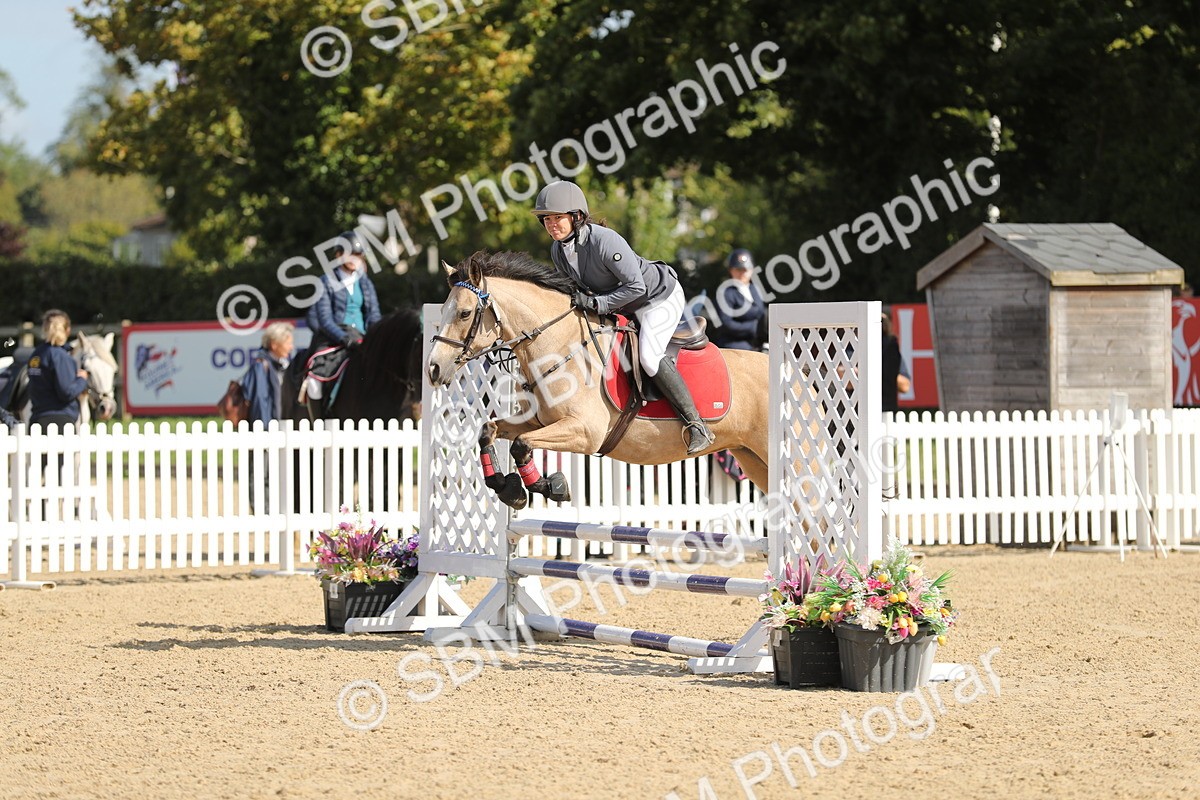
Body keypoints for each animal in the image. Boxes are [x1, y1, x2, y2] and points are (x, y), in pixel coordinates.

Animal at [426, 251, 771, 509]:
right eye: (442, 312)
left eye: (465, 313)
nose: (433, 369)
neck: (560, 345)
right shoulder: (539, 422)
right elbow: (490, 430)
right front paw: (507, 488)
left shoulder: (584, 431)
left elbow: (521, 444)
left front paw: (551, 486)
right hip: (752, 459)